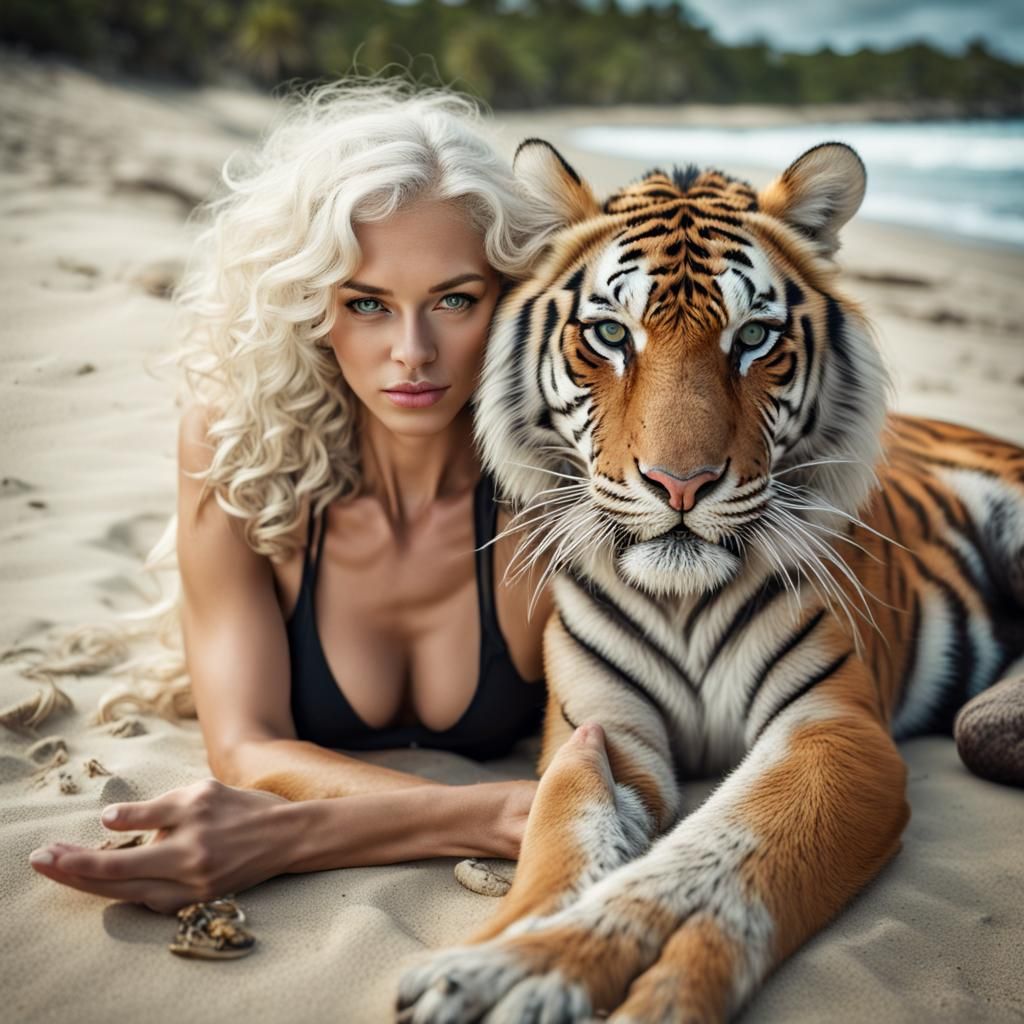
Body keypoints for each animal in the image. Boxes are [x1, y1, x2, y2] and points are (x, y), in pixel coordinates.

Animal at [396, 140, 1024, 1023]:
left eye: (753, 336)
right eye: (610, 333)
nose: (680, 485)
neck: (682, 601)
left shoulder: (833, 730)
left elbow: (711, 858)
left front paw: (532, 972)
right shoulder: (599, 728)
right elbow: (562, 839)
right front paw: (491, 956)